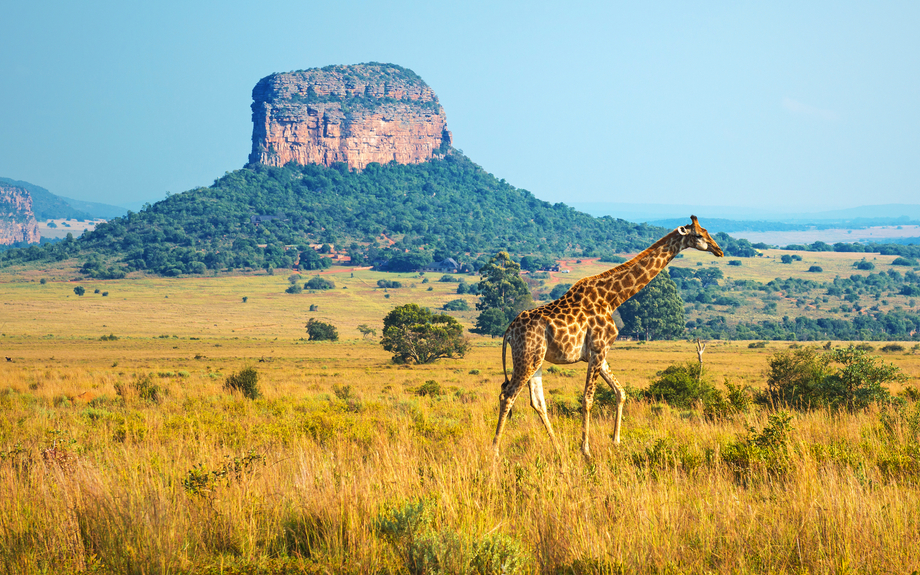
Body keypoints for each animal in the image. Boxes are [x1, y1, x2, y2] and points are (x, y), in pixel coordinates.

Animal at [492, 215, 724, 459]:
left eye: (706, 231)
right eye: (698, 235)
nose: (719, 250)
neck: (612, 299)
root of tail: (509, 331)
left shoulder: (600, 353)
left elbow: (620, 392)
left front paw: (616, 441)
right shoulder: (598, 349)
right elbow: (588, 399)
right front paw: (586, 450)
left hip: (536, 359)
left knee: (537, 402)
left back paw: (558, 448)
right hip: (527, 357)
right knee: (508, 396)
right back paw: (495, 450)